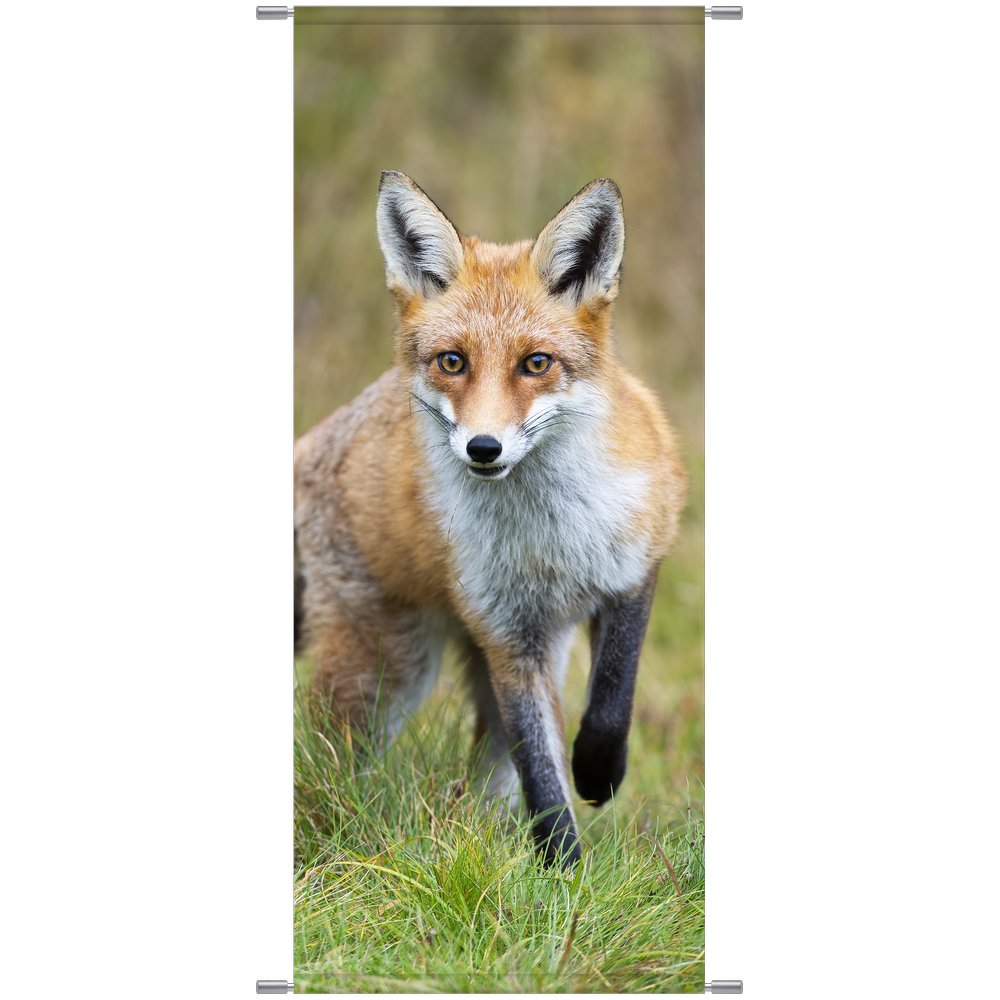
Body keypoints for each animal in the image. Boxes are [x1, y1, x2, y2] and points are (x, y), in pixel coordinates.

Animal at [294, 171, 687, 866]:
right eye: (453, 361)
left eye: (536, 363)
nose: (484, 448)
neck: (548, 536)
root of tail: (320, 434)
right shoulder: (506, 633)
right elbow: (542, 774)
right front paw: (565, 871)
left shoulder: (636, 566)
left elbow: (612, 698)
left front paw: (598, 772)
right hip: (386, 672)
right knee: (329, 760)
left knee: (481, 781)